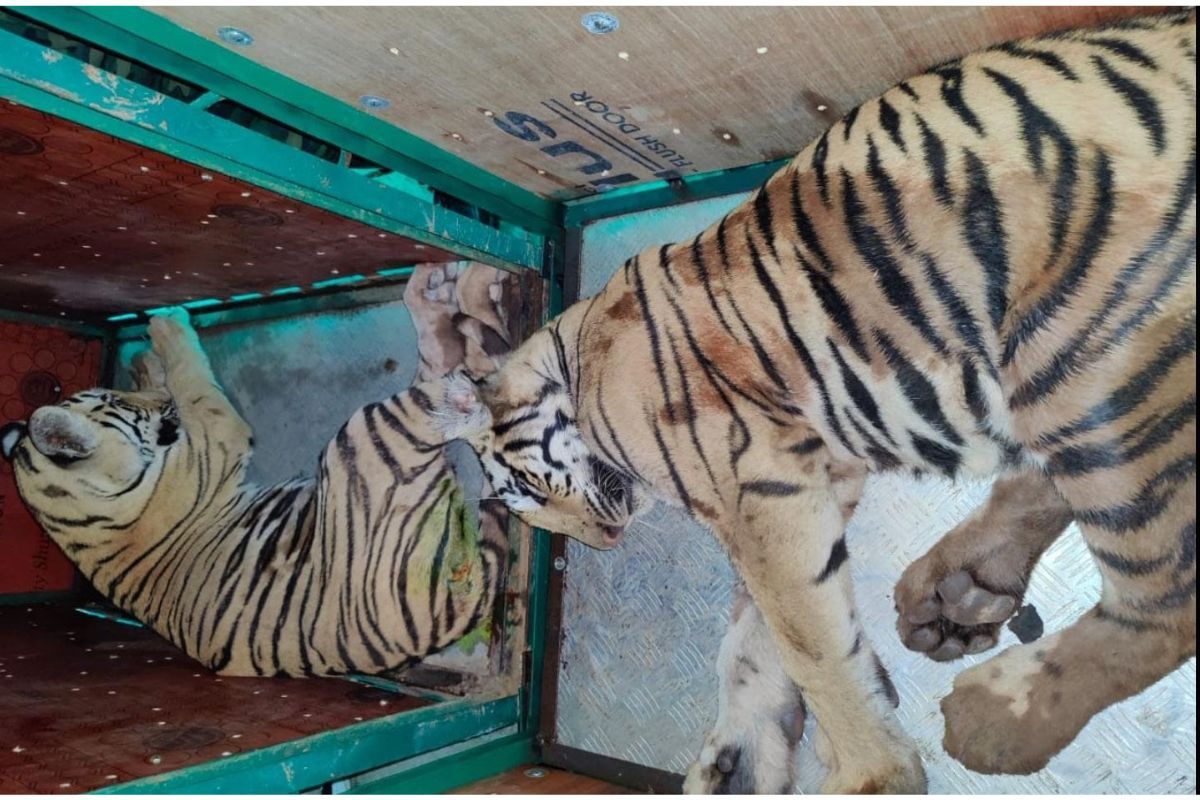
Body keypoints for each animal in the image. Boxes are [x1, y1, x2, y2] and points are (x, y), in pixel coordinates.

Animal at [0, 307, 506, 677]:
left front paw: (146, 361)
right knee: (460, 413)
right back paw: (468, 388)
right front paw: (169, 326)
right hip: (366, 430)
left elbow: (178, 383)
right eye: (116, 402)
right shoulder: (216, 434)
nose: (156, 405)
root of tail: (457, 607)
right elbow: (193, 379)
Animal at [431, 10, 1197, 793]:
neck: (576, 353)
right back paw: (955, 595)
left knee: (1167, 597)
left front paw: (871, 775)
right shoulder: (809, 480)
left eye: (525, 493)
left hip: (1082, 354)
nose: (604, 543)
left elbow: (808, 641)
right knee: (1043, 486)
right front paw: (740, 759)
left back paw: (997, 720)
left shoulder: (753, 485)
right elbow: (757, 635)